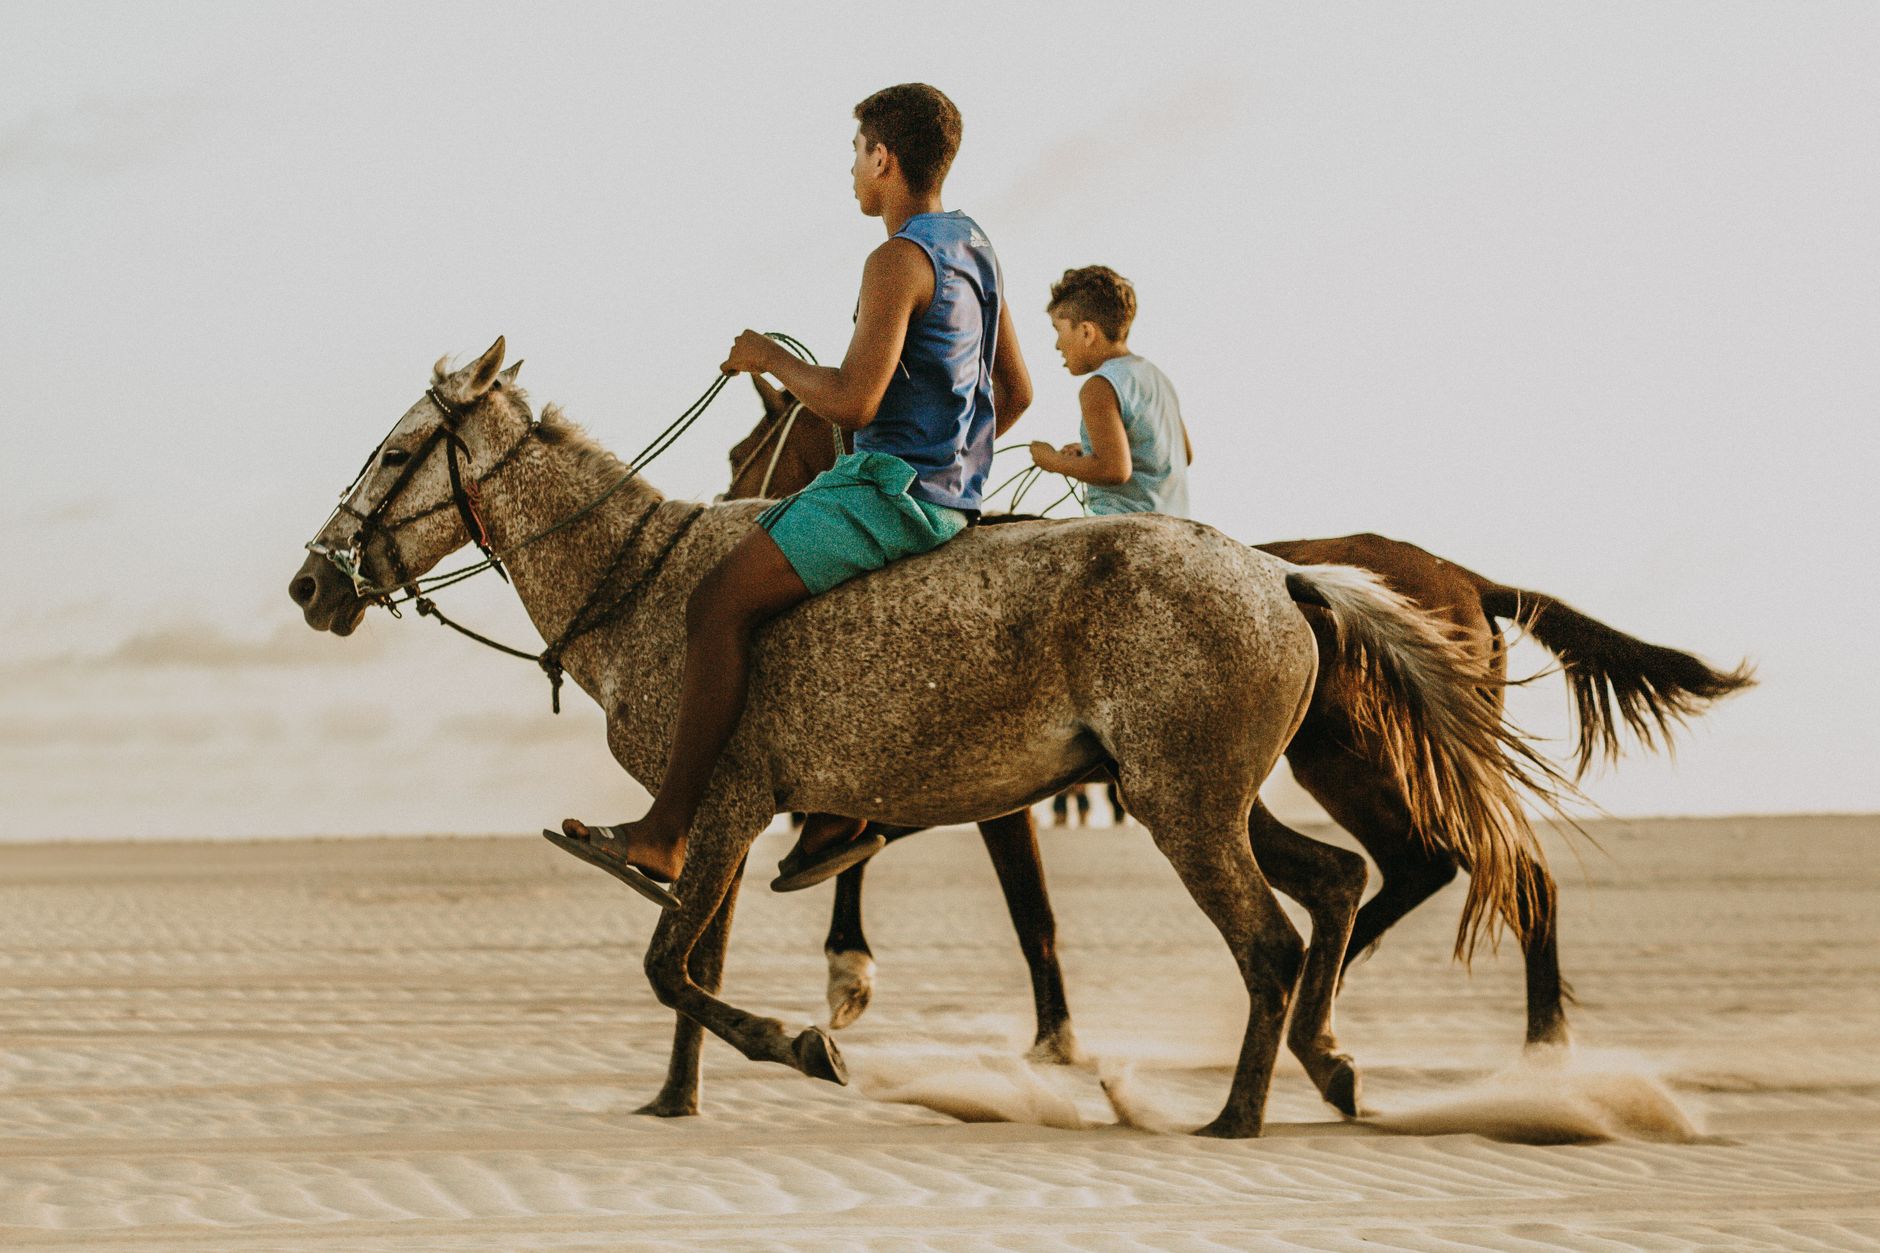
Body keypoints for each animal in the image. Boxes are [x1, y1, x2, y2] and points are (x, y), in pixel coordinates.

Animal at [289, 338, 1564, 1136]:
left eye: (396, 453)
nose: (312, 583)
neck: (640, 578)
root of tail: (1283, 574)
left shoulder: (726, 800)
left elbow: (669, 962)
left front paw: (804, 1042)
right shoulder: (733, 816)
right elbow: (692, 963)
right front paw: (676, 1098)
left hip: (1187, 804)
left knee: (1270, 937)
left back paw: (1235, 1114)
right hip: (1209, 792)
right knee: (1338, 881)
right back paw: (1328, 1059)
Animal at [728, 375, 1755, 1066]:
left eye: (750, 449)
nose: (733, 499)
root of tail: (1464, 577)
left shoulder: (992, 787)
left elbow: (1024, 909)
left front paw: (884, 982)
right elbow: (867, 843)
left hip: (1372, 762)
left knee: (1495, 867)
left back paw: (1536, 1049)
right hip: (1349, 767)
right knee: (1422, 865)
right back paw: (1334, 1006)